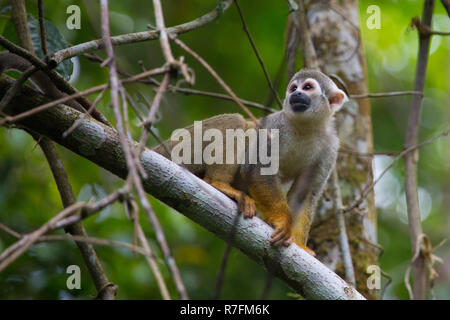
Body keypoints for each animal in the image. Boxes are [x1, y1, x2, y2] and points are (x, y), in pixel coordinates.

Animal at [153, 70, 346, 255]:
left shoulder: (330, 147)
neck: (306, 127)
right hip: (183, 146)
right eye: (293, 88)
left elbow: (304, 194)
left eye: (307, 87)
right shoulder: (275, 126)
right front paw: (282, 221)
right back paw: (218, 184)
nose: (296, 94)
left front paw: (300, 245)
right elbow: (256, 169)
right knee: (236, 122)